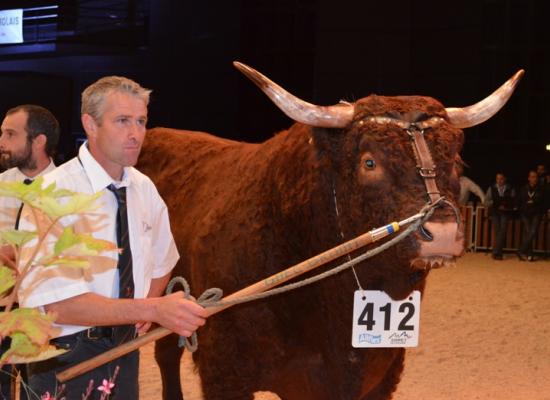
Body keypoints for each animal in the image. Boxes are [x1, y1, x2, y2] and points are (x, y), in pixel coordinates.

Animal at [136, 64, 524, 398]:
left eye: (455, 161)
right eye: (369, 162)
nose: (441, 232)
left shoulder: (378, 375)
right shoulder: (224, 370)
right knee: (165, 355)